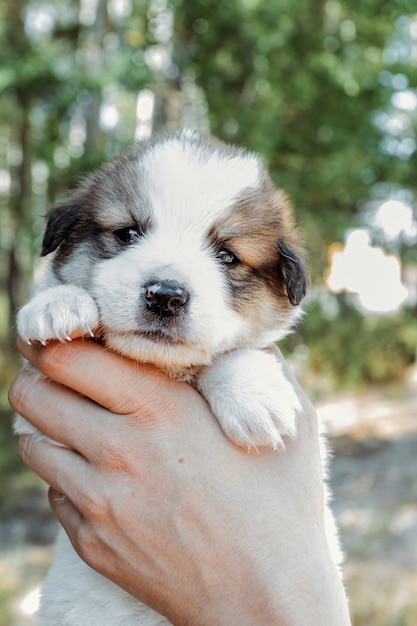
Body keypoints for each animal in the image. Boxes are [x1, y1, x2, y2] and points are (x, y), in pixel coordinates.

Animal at [14, 129, 338, 620]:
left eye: (227, 256)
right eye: (127, 233)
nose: (165, 295)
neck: (165, 370)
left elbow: (235, 351)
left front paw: (253, 394)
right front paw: (58, 302)